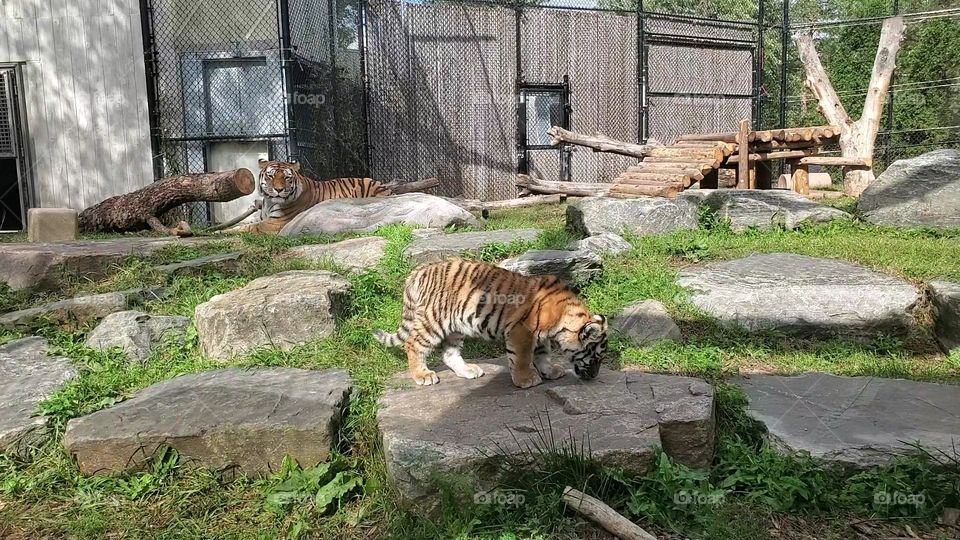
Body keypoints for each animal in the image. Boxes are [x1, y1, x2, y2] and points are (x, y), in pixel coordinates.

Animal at [229, 159, 393, 234]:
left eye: (287, 177)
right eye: (271, 176)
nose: (279, 189)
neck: (269, 202)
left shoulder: (273, 224)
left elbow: (246, 228)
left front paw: (223, 233)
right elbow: (243, 223)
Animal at [374, 259, 608, 389]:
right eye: (596, 357)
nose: (594, 377)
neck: (562, 320)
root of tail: (419, 270)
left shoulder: (540, 336)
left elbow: (542, 355)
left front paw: (549, 371)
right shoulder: (522, 331)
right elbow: (522, 358)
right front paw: (526, 380)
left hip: (454, 327)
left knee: (449, 354)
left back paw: (468, 370)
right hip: (434, 320)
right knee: (413, 343)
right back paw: (423, 375)